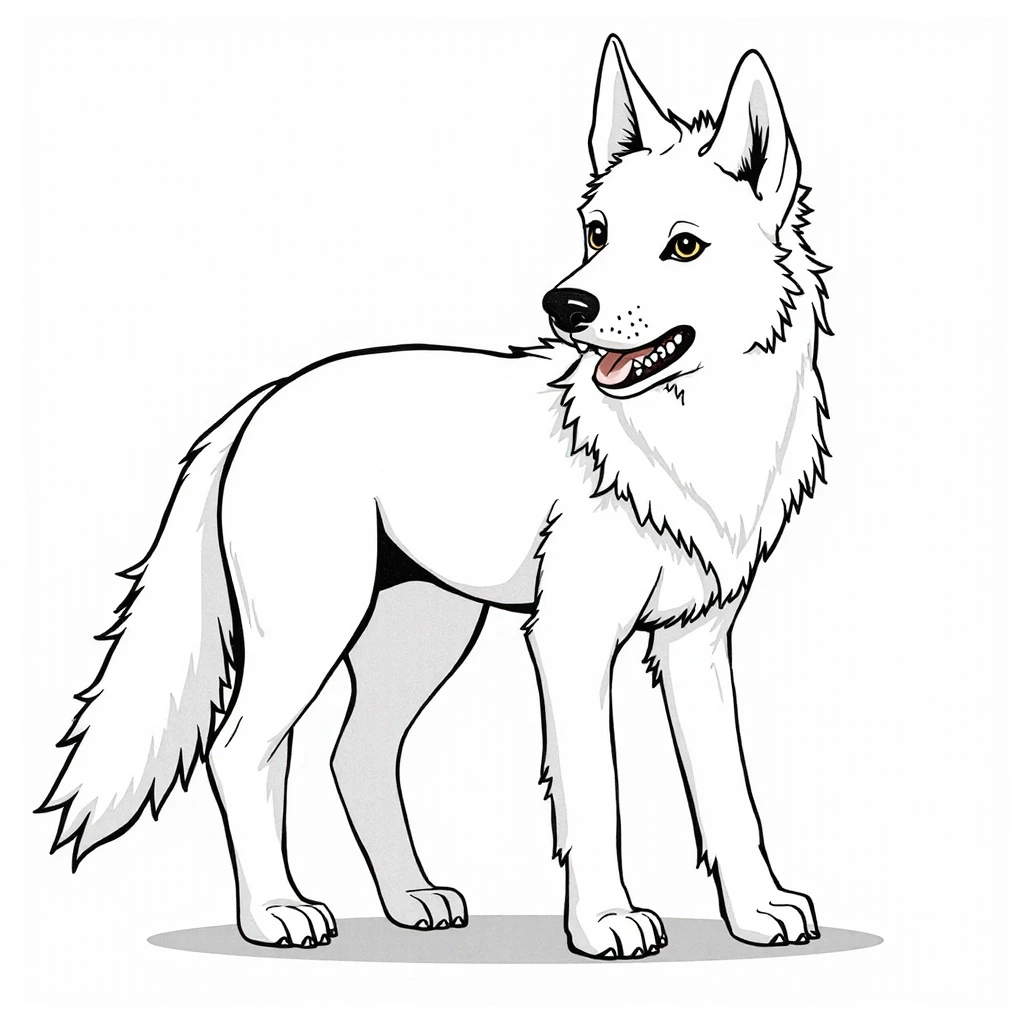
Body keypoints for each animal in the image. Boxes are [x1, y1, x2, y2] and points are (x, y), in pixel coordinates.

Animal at [39, 35, 832, 960]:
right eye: (597, 235)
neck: (691, 442)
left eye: (683, 246)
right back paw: (276, 913)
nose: (566, 304)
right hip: (314, 632)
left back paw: (412, 899)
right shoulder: (570, 643)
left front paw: (758, 912)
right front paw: (605, 922)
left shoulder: (696, 646)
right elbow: (597, 796)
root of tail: (264, 399)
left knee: (354, 755)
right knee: (243, 752)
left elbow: (730, 798)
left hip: (423, 637)